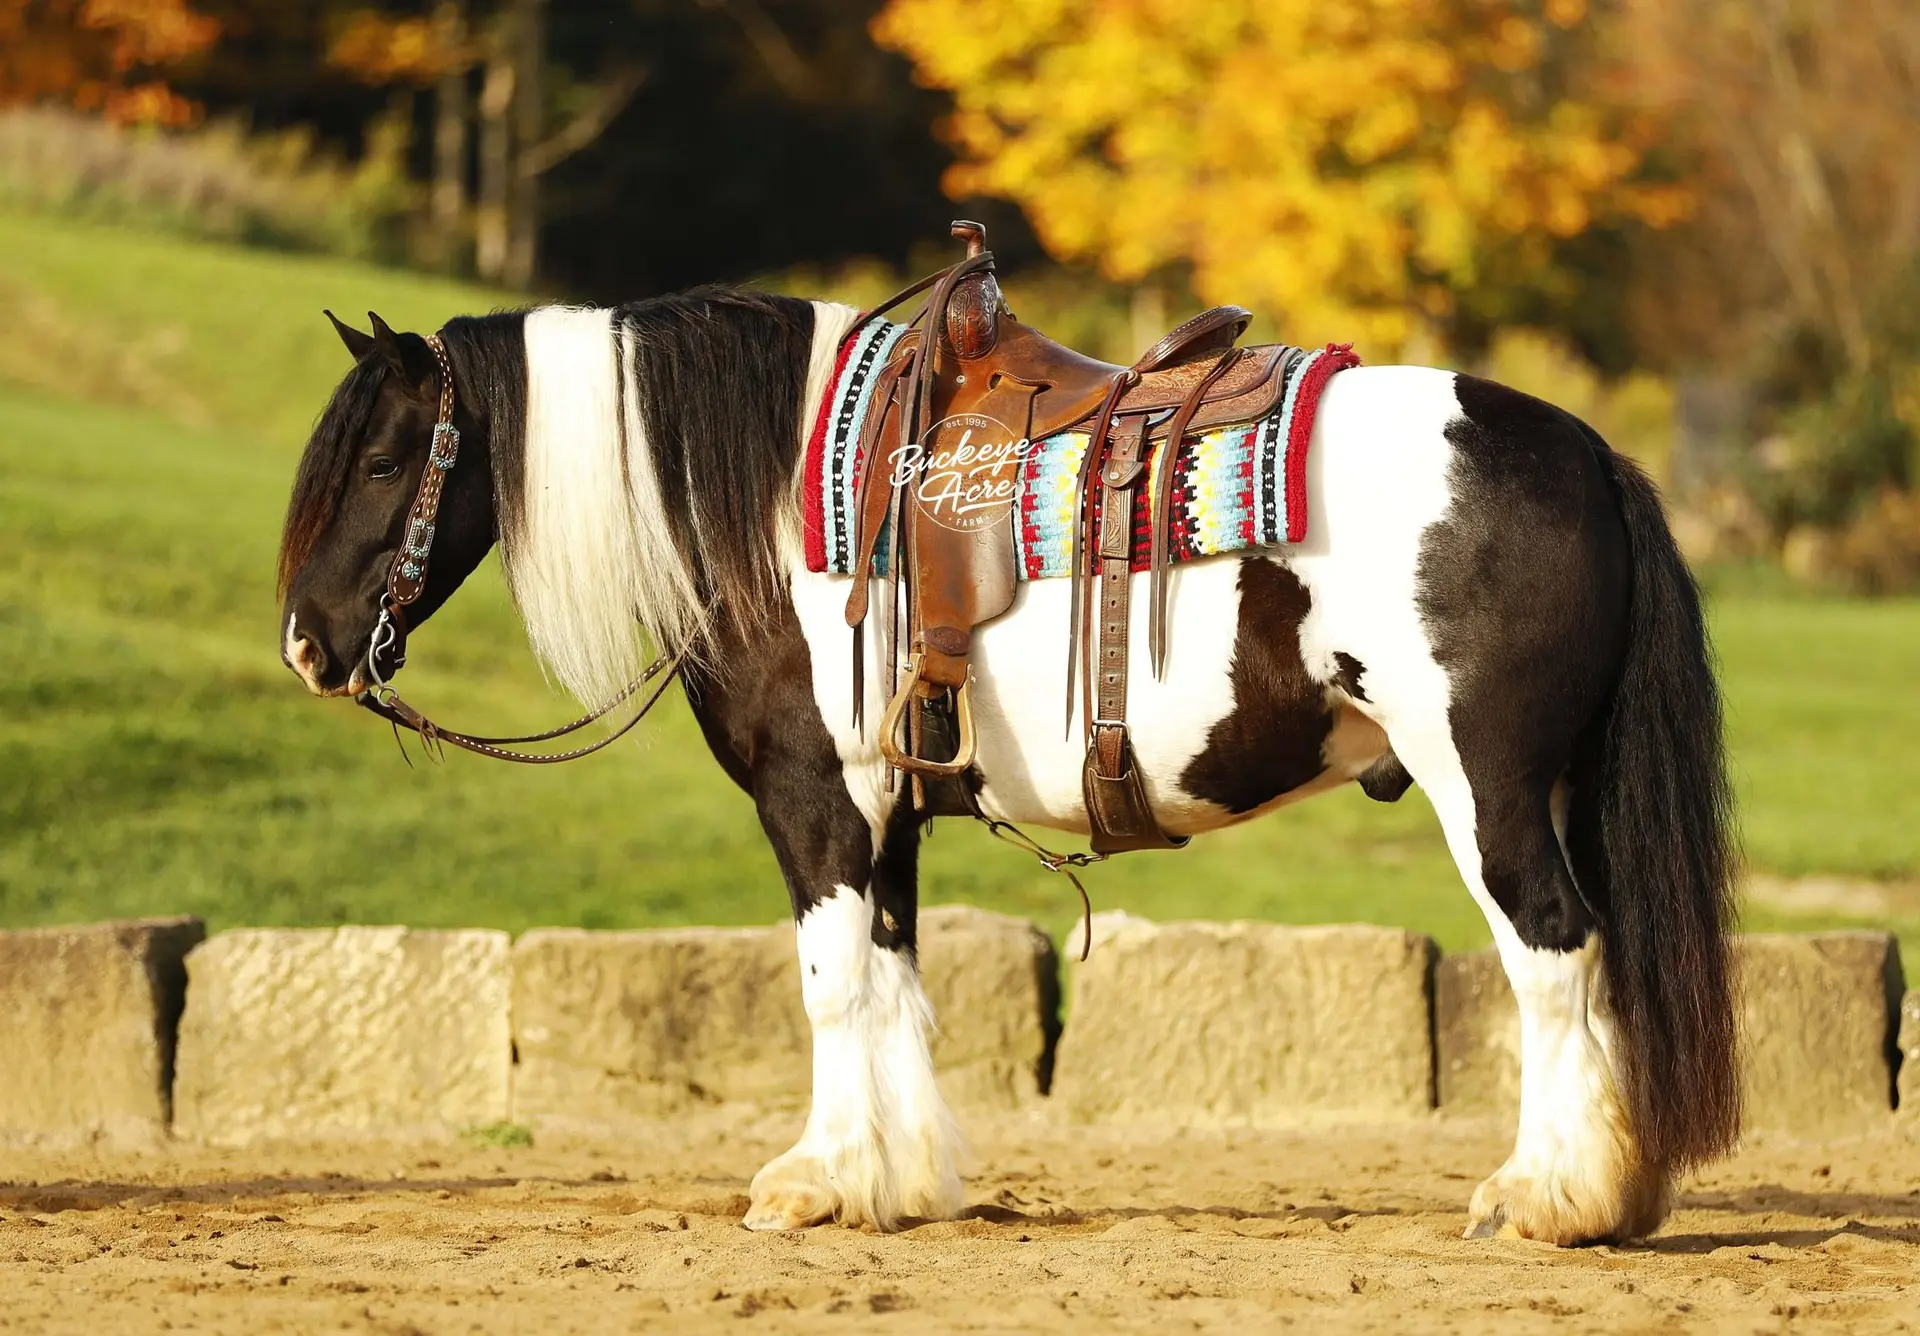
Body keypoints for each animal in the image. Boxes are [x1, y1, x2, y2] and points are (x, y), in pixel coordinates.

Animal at [276, 289, 1738, 1246]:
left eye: (389, 456)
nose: (306, 644)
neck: (776, 497)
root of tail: (1585, 451)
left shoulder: (815, 799)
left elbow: (829, 985)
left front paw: (814, 1180)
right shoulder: (890, 813)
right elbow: (894, 980)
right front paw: (898, 1181)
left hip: (1486, 793)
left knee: (1553, 955)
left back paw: (1548, 1198)